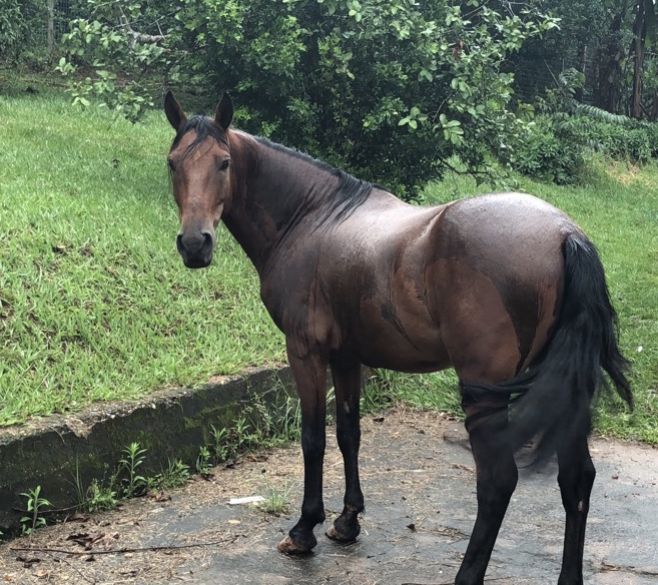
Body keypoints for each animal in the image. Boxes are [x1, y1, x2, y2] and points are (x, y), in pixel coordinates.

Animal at [163, 91, 632, 585]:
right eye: (173, 163)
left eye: (224, 163)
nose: (194, 244)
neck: (313, 220)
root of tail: (565, 234)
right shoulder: (346, 357)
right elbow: (349, 433)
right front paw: (347, 521)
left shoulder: (305, 352)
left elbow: (313, 439)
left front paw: (304, 529)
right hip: (561, 390)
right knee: (576, 479)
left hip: (483, 394)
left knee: (498, 481)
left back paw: (466, 574)